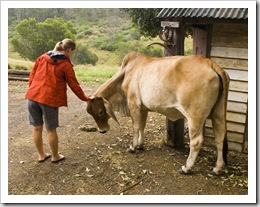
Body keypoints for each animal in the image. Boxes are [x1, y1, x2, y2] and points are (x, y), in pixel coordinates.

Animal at [87, 51, 230, 175]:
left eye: (100, 112)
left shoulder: (134, 104)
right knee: (219, 137)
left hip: (195, 117)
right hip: (218, 114)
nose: (102, 130)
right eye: (91, 113)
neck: (126, 72)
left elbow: (136, 127)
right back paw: (217, 168)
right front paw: (140, 145)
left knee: (196, 141)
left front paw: (133, 147)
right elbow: (142, 126)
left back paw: (186, 167)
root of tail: (209, 63)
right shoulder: (143, 108)